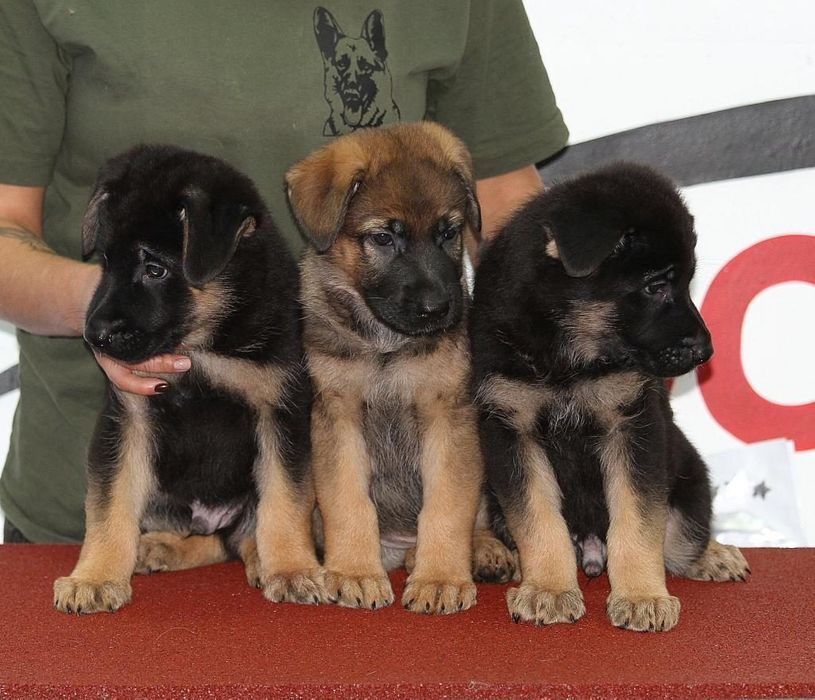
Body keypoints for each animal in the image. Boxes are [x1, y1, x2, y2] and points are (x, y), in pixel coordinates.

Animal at [53, 146, 322, 612]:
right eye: (105, 260)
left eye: (155, 269)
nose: (94, 336)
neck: (201, 347)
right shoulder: (127, 417)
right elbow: (109, 505)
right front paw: (95, 577)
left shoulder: (281, 411)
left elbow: (285, 501)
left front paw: (292, 569)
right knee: (212, 538)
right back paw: (159, 546)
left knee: (241, 534)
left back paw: (260, 559)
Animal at [286, 123, 512, 616]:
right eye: (384, 238)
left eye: (449, 232)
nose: (437, 310)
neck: (385, 346)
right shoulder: (338, 415)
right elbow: (349, 502)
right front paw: (354, 572)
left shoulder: (447, 415)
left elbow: (446, 506)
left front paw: (441, 579)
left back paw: (481, 551)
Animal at [472, 161, 752, 632]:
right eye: (656, 286)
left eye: (688, 282)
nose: (706, 352)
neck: (567, 356)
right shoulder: (511, 430)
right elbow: (538, 519)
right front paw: (548, 589)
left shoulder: (632, 426)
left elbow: (636, 522)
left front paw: (641, 597)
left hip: (688, 476)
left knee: (679, 542)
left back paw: (713, 555)